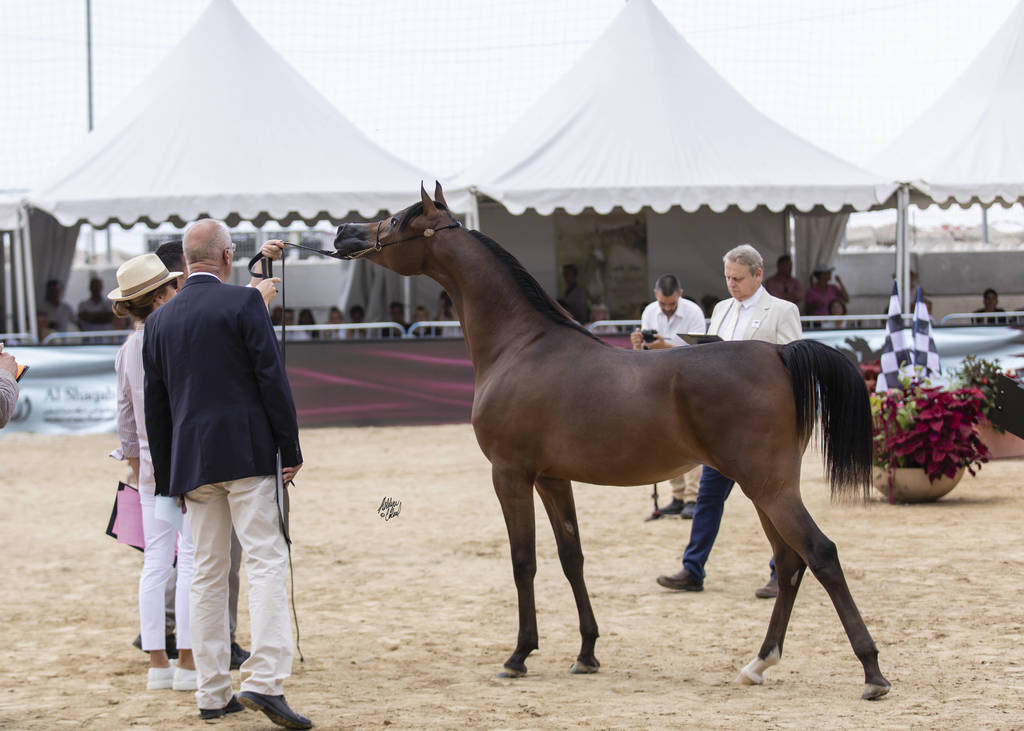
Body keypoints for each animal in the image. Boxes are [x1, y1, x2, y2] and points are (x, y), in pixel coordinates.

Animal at [333, 183, 891, 700]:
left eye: (397, 218)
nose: (344, 232)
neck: (520, 344)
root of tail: (778, 354)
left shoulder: (510, 474)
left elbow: (523, 561)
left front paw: (519, 655)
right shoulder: (552, 479)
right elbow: (572, 557)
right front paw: (586, 652)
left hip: (768, 487)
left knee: (820, 554)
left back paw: (872, 673)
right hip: (765, 489)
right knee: (792, 563)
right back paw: (758, 663)